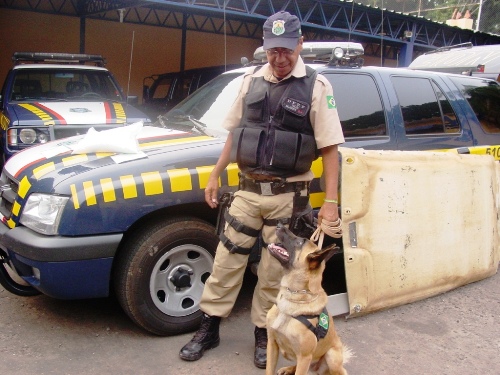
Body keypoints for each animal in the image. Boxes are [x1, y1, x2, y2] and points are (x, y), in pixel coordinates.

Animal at [264, 225, 350, 374]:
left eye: (300, 242)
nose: (279, 225)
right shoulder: (272, 344)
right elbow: (269, 370)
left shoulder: (304, 356)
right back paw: (288, 369)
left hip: (331, 357)